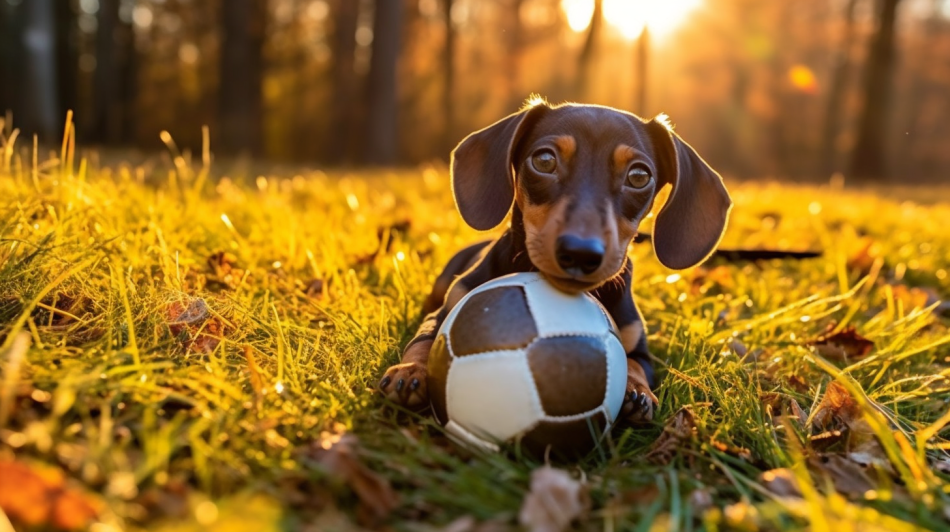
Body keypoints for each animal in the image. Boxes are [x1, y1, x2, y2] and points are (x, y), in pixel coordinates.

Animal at [382, 100, 736, 424]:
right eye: (544, 160)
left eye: (639, 176)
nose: (580, 252)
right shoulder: (443, 314)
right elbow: (424, 341)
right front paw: (410, 371)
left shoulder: (641, 349)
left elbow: (634, 363)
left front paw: (637, 392)